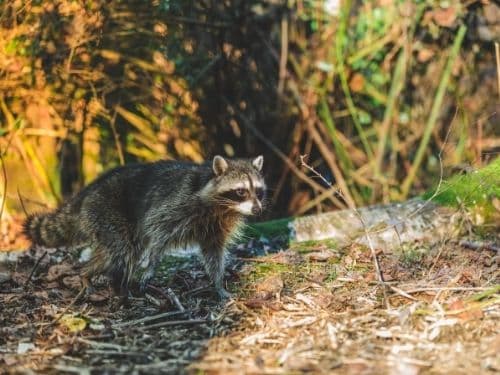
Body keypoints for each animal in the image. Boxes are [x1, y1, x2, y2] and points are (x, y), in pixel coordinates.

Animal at [23, 156, 266, 300]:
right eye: (241, 191)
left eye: (259, 191)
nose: (257, 209)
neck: (222, 208)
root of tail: (85, 193)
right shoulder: (178, 204)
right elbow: (157, 230)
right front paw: (152, 264)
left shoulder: (215, 227)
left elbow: (213, 252)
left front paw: (218, 283)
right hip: (106, 211)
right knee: (120, 251)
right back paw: (93, 277)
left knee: (122, 251)